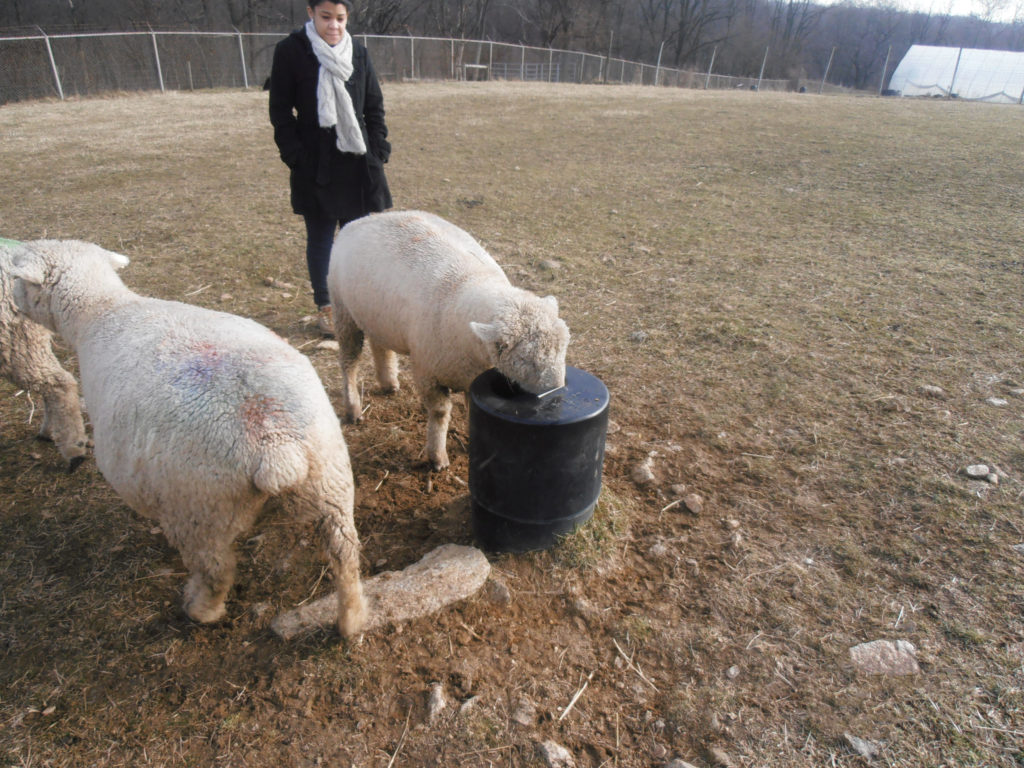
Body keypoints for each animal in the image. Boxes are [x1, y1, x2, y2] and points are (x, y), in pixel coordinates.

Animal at [12, 240, 366, 638]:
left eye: (17, 278)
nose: (12, 300)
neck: (104, 311)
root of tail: (275, 437)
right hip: (331, 481)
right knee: (345, 554)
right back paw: (352, 620)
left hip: (200, 509)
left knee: (216, 570)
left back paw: (200, 609)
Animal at [327, 208, 569, 468]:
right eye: (525, 359)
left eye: (564, 350)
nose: (556, 392)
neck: (467, 283)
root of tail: (363, 218)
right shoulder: (428, 375)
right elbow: (440, 413)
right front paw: (438, 456)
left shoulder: (472, 378)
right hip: (343, 311)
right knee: (349, 362)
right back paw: (353, 408)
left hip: (378, 315)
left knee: (379, 344)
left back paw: (388, 382)